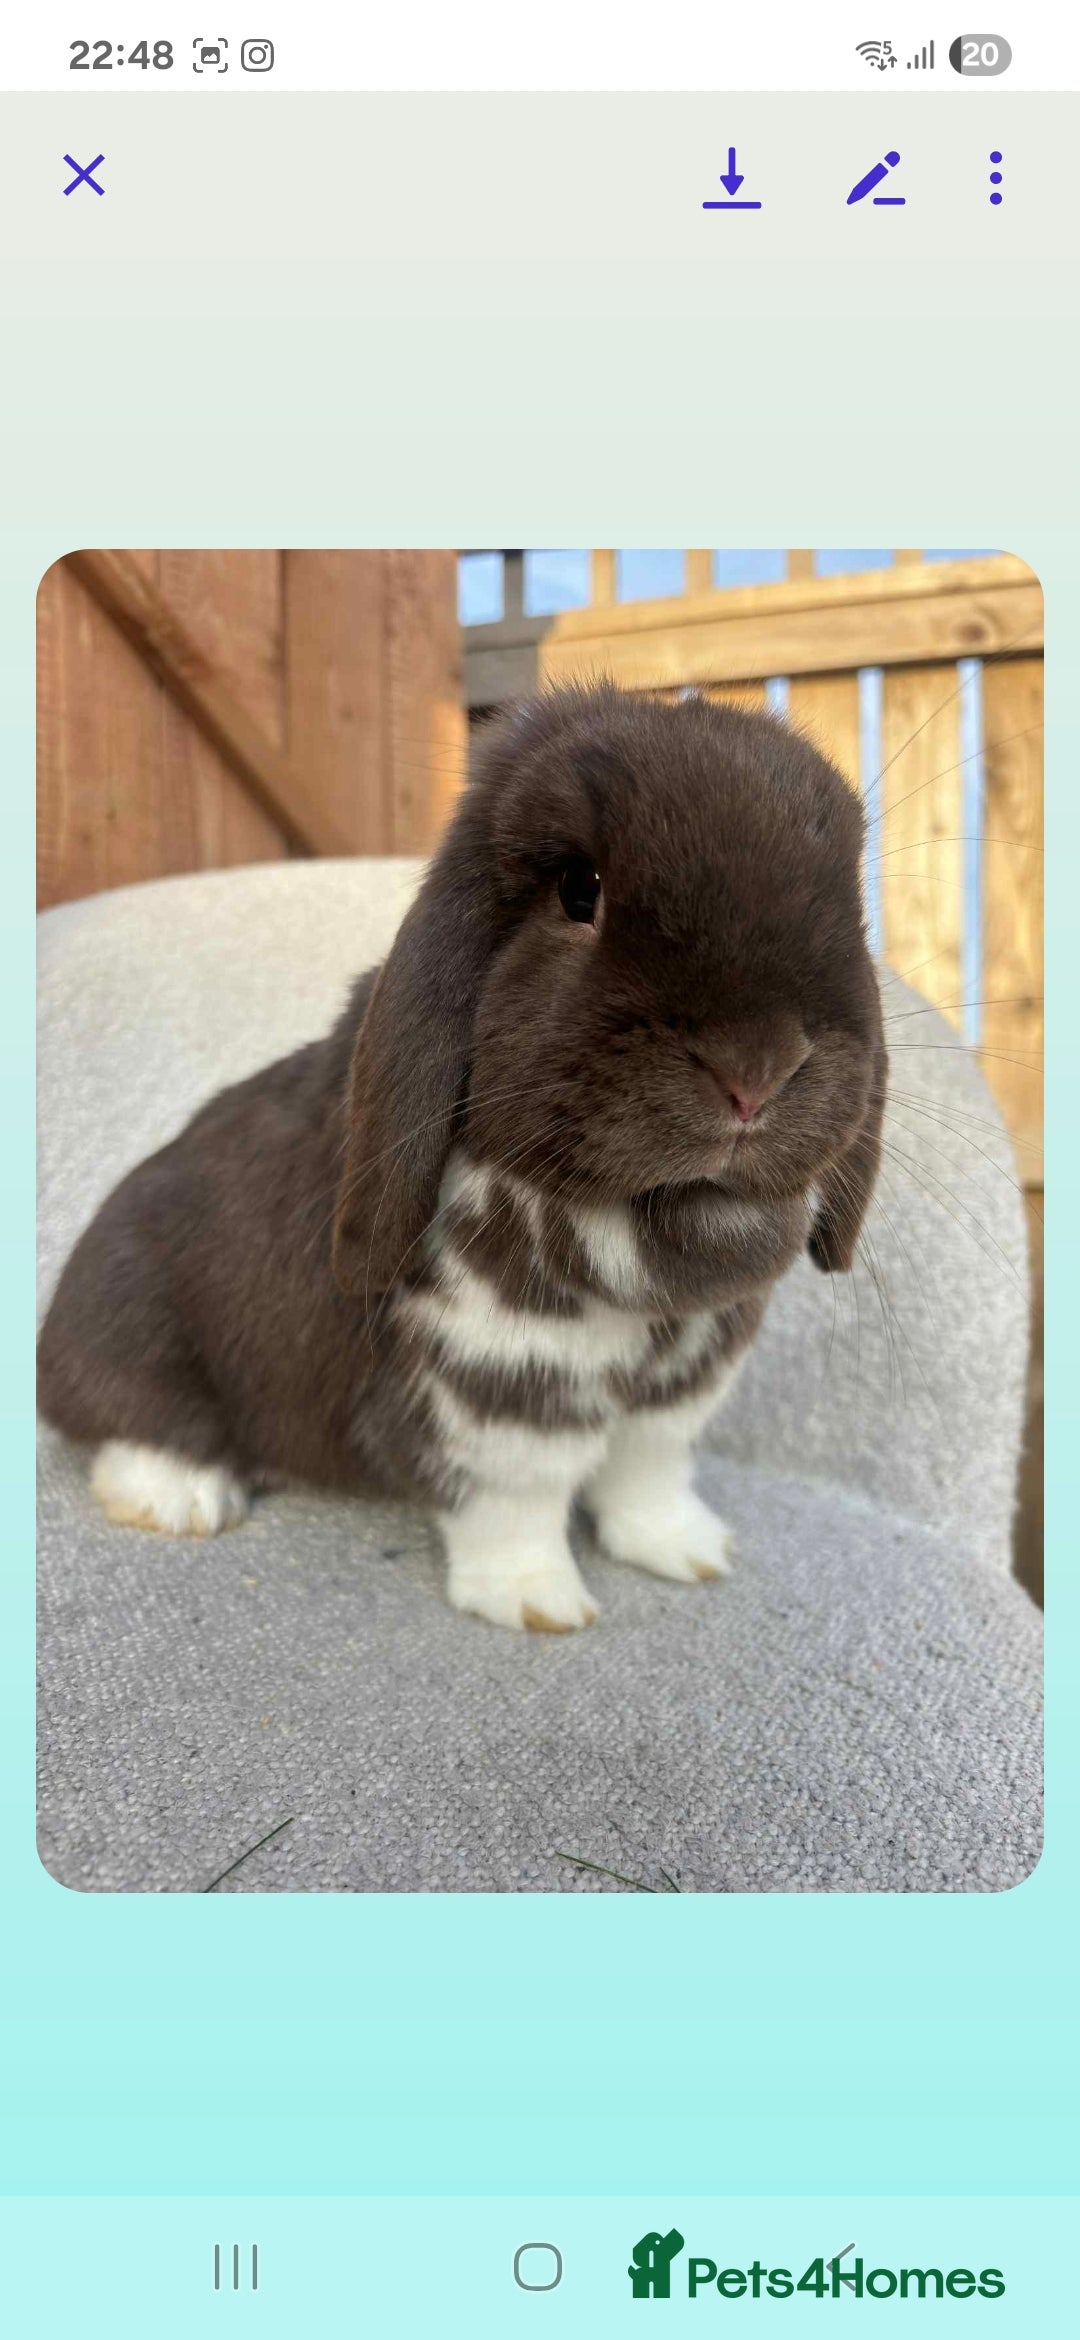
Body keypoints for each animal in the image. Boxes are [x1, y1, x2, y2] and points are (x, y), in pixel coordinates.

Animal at [37, 683, 886, 1632]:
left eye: (849, 904)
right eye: (579, 889)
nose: (756, 1070)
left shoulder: (672, 1403)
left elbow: (649, 1476)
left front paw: (691, 1552)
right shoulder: (498, 1394)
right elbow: (517, 1504)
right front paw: (538, 1603)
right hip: (133, 1328)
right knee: (126, 1422)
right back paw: (179, 1497)